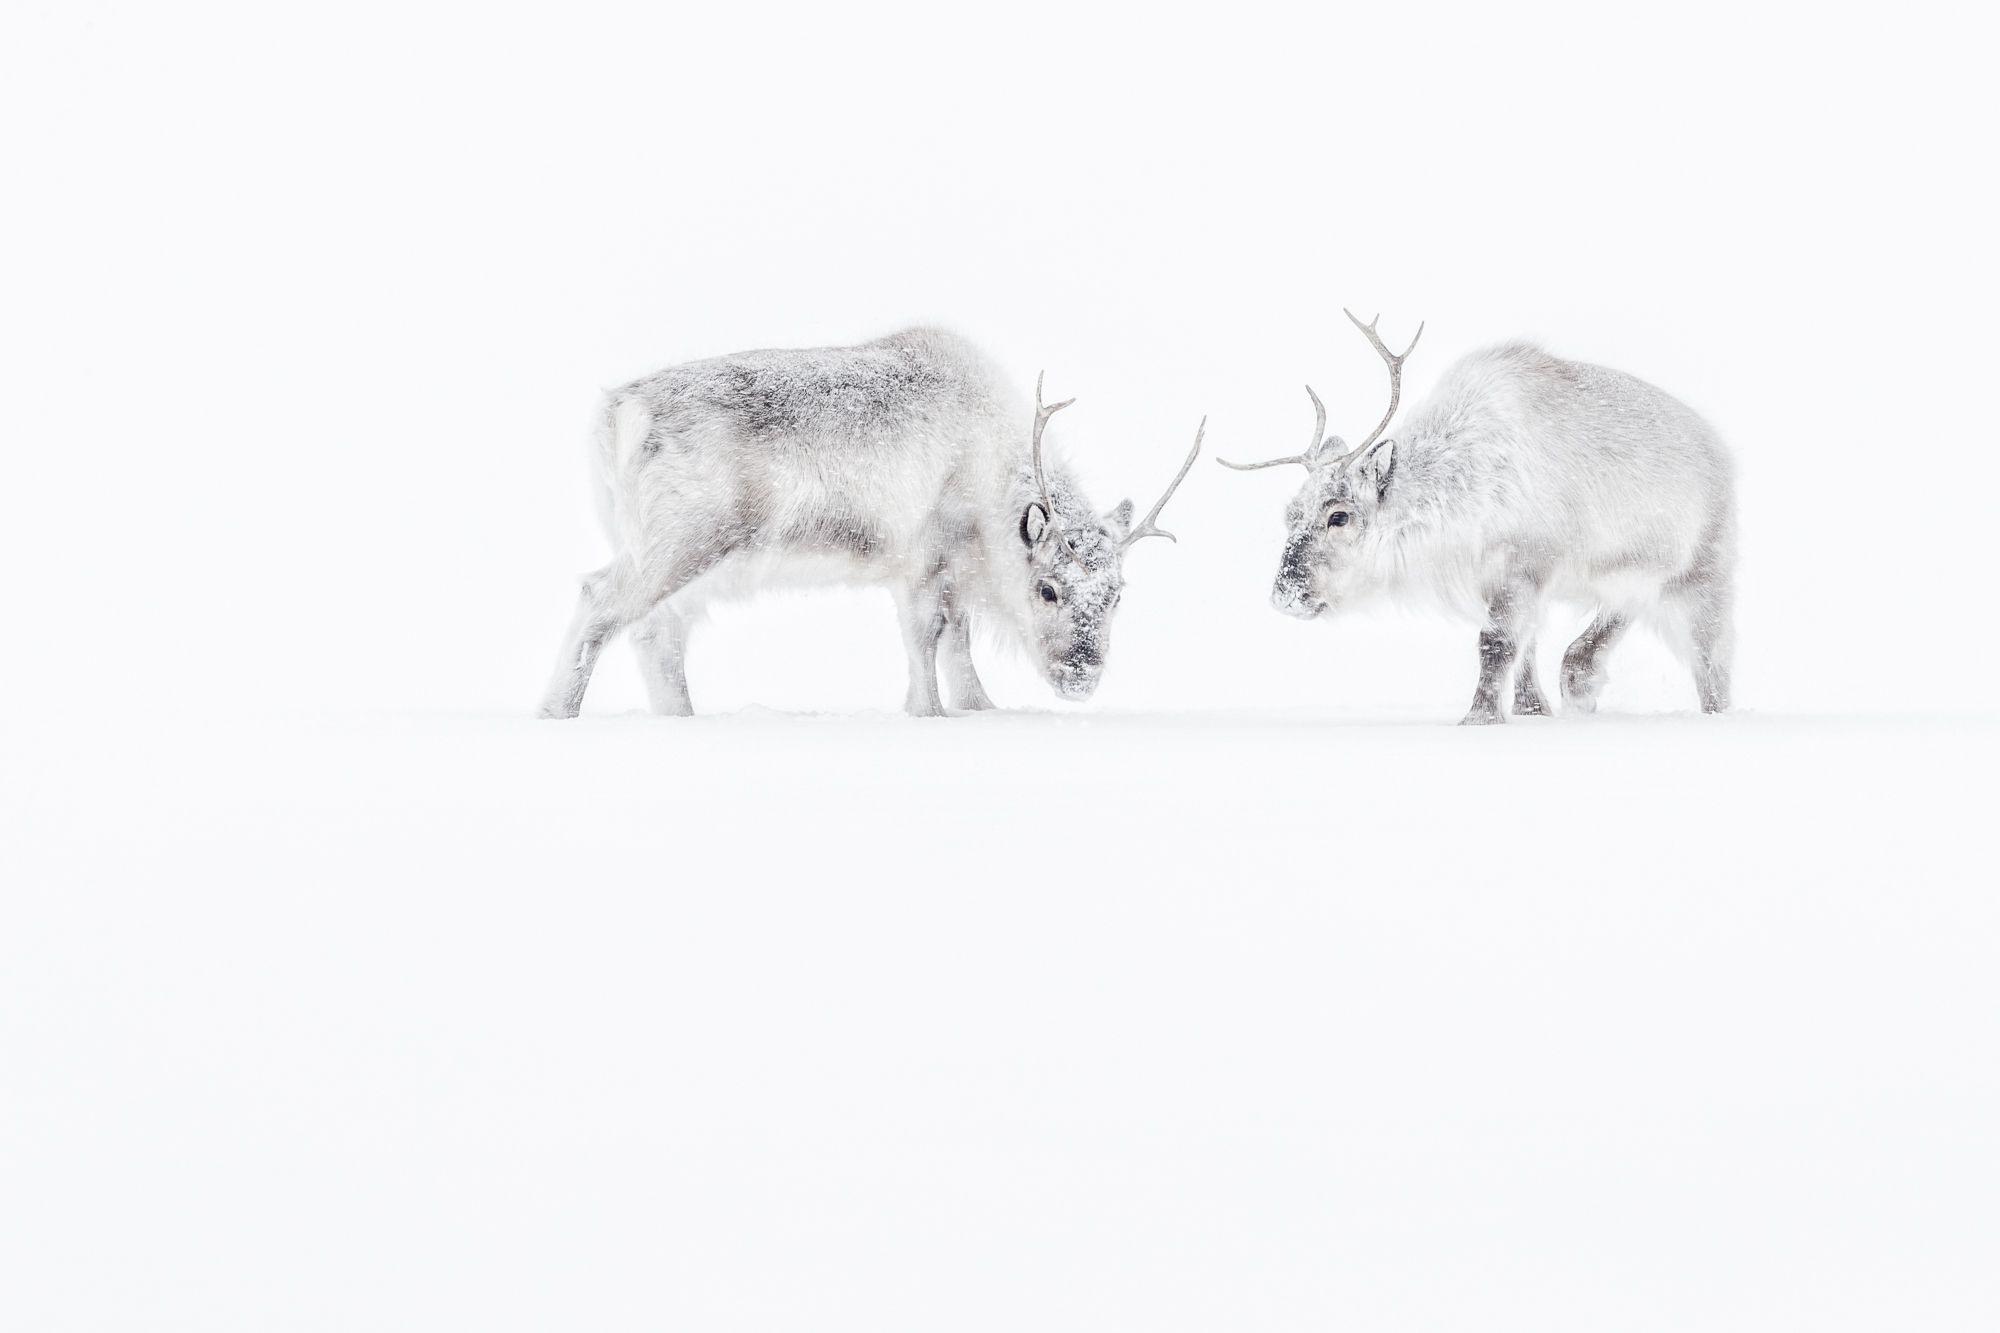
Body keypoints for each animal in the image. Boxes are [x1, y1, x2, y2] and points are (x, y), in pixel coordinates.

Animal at [540, 326, 1203, 719]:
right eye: (1047, 588)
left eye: (1117, 594)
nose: (1081, 678)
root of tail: (614, 413)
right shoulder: (920, 560)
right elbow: (925, 639)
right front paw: (927, 713)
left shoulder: (951, 574)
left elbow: (958, 645)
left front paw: (980, 709)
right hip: (680, 543)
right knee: (599, 599)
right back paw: (558, 713)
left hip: (689, 567)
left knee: (657, 635)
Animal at [1218, 312, 1736, 724]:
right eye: (1290, 514)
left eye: (1339, 516)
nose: (1283, 597)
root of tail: (1719, 447)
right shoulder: (1511, 582)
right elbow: (1523, 646)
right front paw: (1530, 710)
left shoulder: (1522, 566)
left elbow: (1496, 644)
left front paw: (1479, 718)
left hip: (1697, 574)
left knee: (1711, 662)